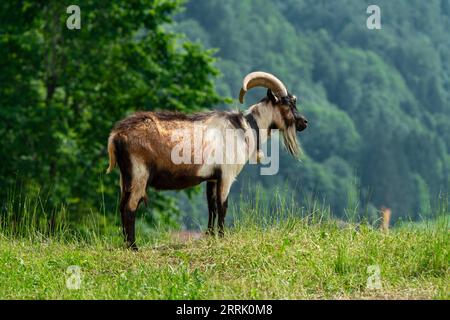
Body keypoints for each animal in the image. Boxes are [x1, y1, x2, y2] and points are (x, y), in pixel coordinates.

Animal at [107, 71, 308, 249]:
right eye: (287, 103)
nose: (304, 123)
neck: (246, 127)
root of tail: (116, 136)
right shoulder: (226, 175)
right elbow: (222, 206)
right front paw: (222, 237)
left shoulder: (212, 178)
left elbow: (211, 206)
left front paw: (211, 236)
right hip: (139, 173)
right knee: (130, 207)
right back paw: (133, 247)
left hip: (125, 177)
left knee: (121, 205)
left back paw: (126, 244)